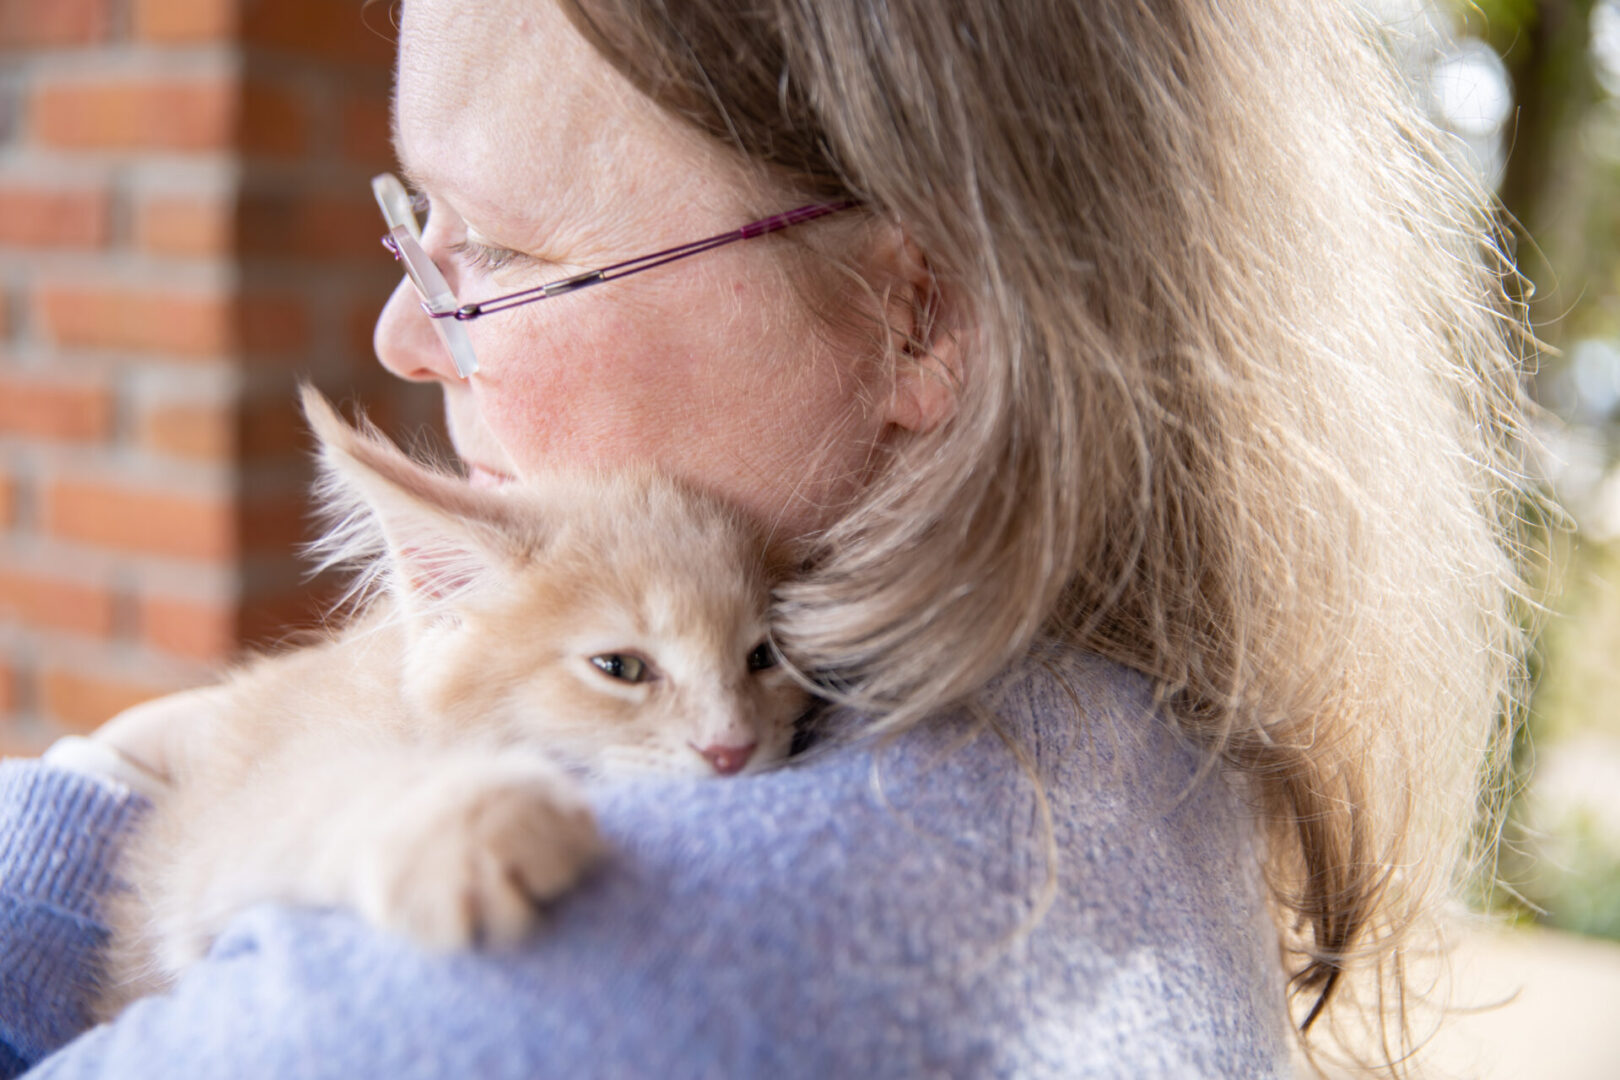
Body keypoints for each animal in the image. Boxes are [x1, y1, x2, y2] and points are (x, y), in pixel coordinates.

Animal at [94, 390, 803, 1023]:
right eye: (620, 668)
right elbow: (312, 799)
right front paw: (469, 823)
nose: (731, 749)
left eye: (764, 657)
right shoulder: (208, 848)